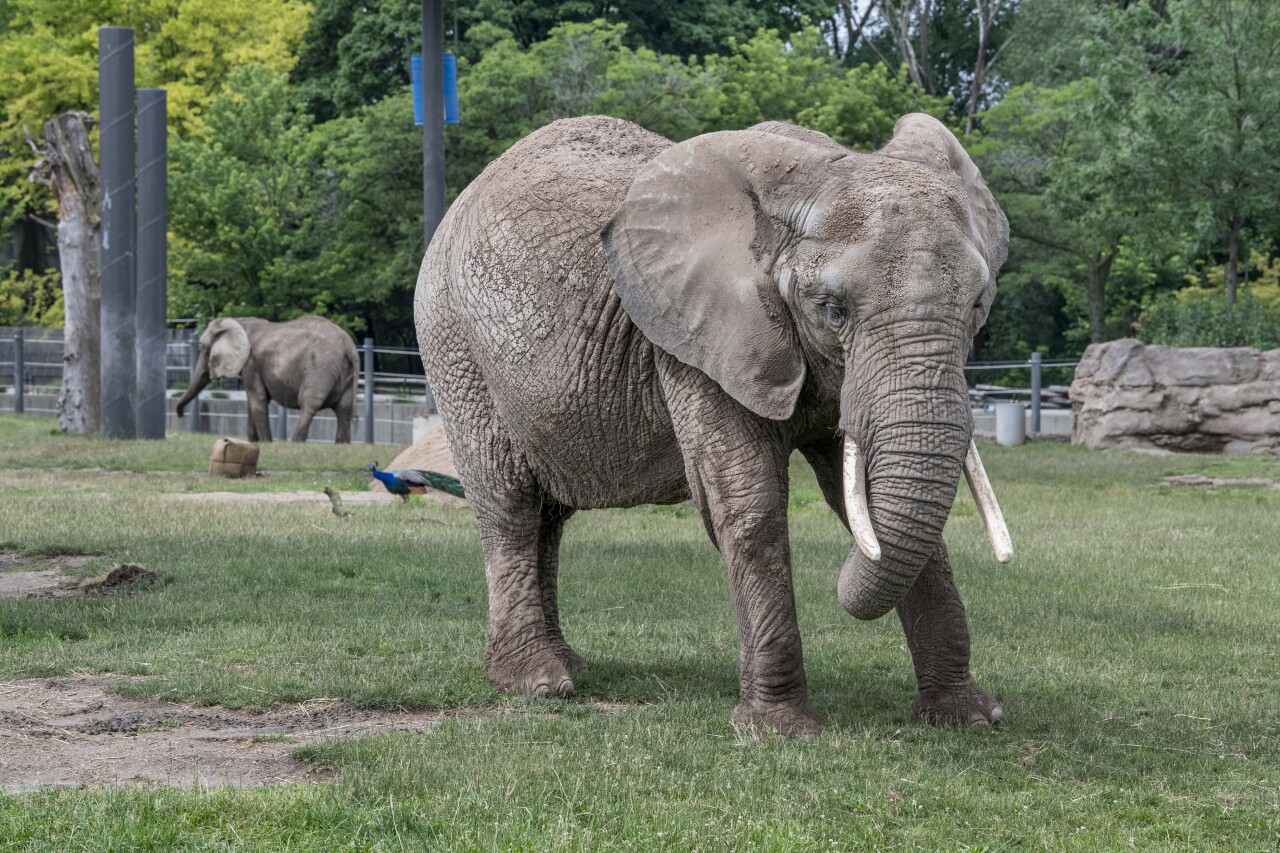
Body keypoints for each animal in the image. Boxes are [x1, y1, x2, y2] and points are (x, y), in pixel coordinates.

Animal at [175, 316, 358, 443]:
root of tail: (349, 347)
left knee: (309, 403)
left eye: (203, 347)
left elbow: (258, 399)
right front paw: (252, 442)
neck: (240, 321)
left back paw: (295, 443)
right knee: (344, 408)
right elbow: (252, 402)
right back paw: (342, 445)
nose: (181, 415)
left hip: (320, 367)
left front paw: (265, 443)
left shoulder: (251, 362)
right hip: (346, 372)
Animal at [416, 114, 1014, 735]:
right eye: (832, 309)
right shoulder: (693, 340)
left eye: (978, 304)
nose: (840, 590)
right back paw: (537, 683)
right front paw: (779, 730)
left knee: (548, 516)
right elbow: (750, 500)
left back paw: (569, 666)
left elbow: (867, 498)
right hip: (455, 347)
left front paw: (970, 717)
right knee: (510, 502)